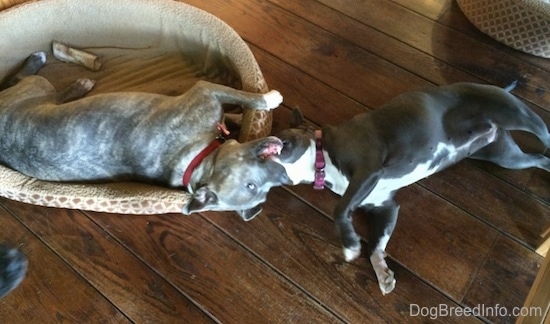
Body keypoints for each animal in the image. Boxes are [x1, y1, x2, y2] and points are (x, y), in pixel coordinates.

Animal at [274, 82, 548, 294]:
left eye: (284, 142)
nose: (265, 149)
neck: (323, 157)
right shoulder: (385, 207)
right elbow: (376, 245)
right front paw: (382, 272)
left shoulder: (367, 168)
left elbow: (340, 210)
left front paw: (350, 244)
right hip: (507, 157)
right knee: (540, 159)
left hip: (513, 114)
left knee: (543, 132)